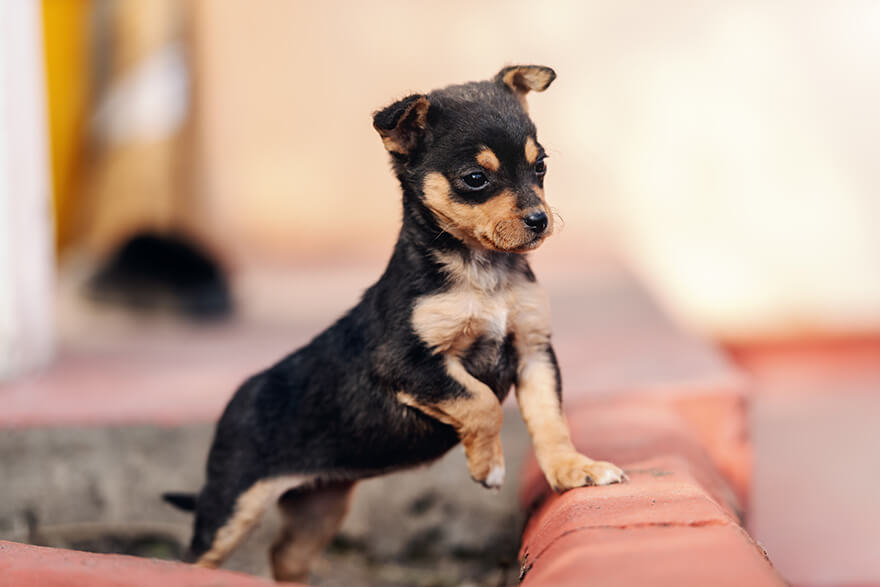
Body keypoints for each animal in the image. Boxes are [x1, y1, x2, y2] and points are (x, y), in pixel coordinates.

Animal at [167, 65, 624, 584]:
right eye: (475, 179)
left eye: (541, 166)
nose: (539, 219)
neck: (482, 274)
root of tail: (236, 400)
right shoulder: (407, 362)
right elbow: (481, 402)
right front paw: (488, 466)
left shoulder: (533, 351)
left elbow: (550, 421)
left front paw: (573, 470)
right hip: (232, 507)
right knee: (197, 557)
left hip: (319, 508)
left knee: (285, 556)